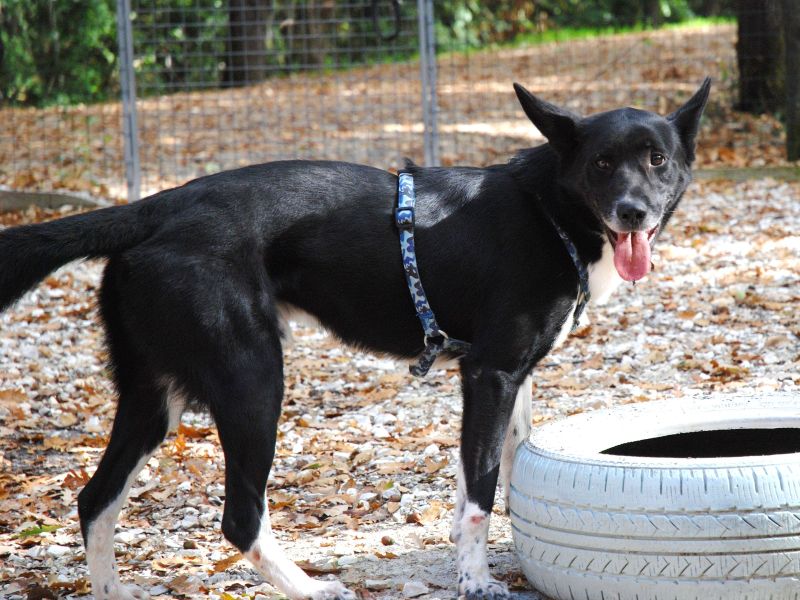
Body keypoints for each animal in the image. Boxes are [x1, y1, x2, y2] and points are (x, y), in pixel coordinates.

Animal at [1, 81, 712, 600]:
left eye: (657, 160)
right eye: (601, 163)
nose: (632, 212)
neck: (548, 211)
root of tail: (153, 208)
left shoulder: (512, 378)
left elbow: (491, 474)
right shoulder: (492, 374)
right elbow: (482, 492)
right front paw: (477, 582)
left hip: (154, 398)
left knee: (95, 500)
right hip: (253, 381)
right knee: (239, 516)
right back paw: (313, 589)